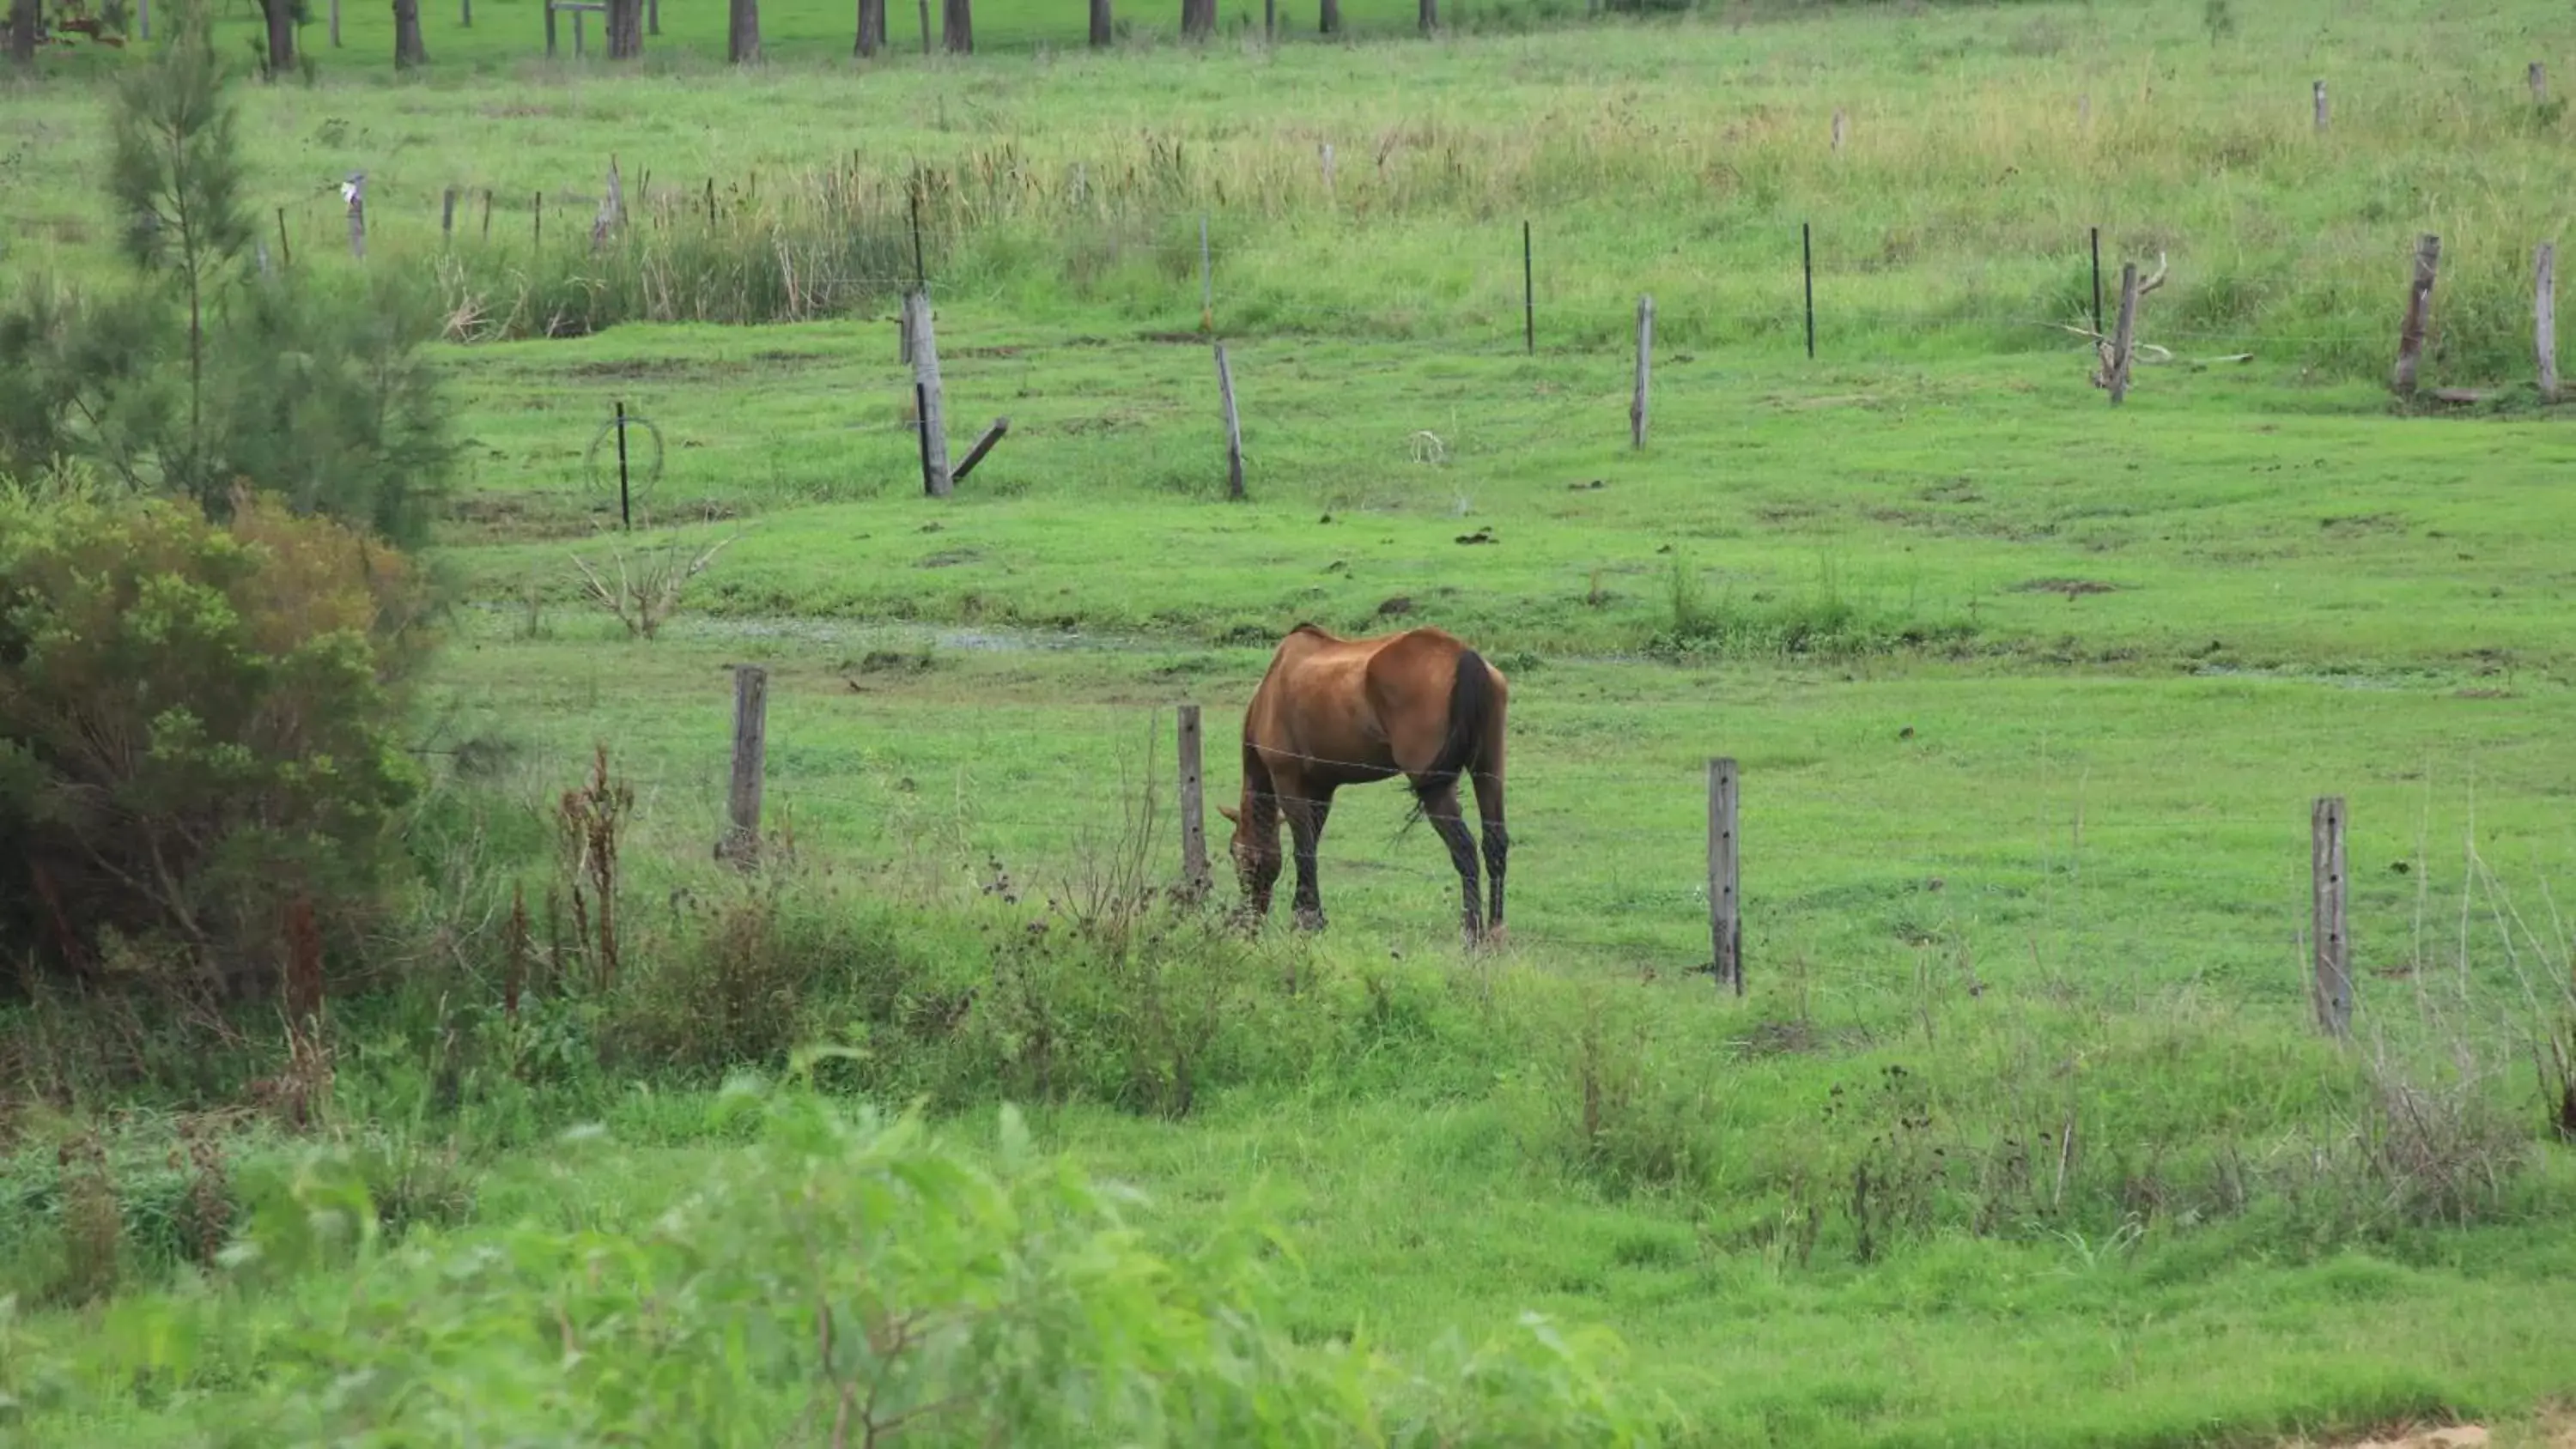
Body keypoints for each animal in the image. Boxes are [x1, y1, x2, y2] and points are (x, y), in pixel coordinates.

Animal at [1211, 620, 1504, 942]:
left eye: (1234, 852)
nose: (1250, 917)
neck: (1270, 691)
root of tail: (1462, 654)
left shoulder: (1287, 780)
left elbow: (1303, 849)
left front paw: (1307, 921)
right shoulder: (1321, 788)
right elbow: (1311, 845)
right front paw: (1308, 915)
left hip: (1436, 789)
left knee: (1465, 850)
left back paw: (1472, 933)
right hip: (1488, 771)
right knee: (1495, 844)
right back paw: (1496, 930)